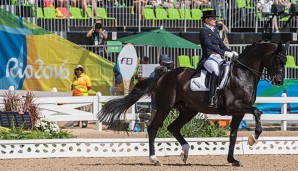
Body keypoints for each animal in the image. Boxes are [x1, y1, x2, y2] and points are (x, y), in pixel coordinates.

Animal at [99, 40, 290, 167]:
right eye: (277, 59)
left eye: (285, 60)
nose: (279, 81)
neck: (242, 74)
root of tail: (162, 76)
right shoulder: (233, 106)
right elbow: (258, 111)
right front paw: (253, 139)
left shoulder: (239, 112)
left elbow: (234, 134)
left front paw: (233, 159)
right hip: (165, 106)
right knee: (153, 128)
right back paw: (155, 159)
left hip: (188, 110)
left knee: (173, 128)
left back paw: (185, 152)